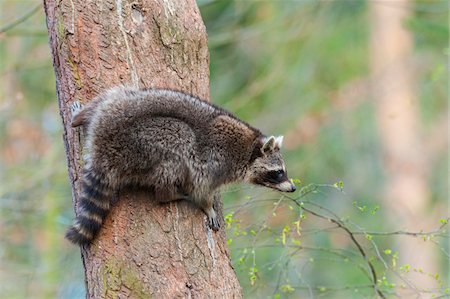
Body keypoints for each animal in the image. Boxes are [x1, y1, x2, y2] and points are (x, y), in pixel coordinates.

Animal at [66, 86, 296, 246]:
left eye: (283, 171)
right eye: (278, 173)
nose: (293, 187)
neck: (249, 150)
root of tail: (102, 144)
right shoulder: (213, 162)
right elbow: (200, 187)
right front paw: (207, 207)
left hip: (118, 103)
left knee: (111, 95)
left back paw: (80, 116)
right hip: (144, 145)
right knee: (179, 143)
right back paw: (168, 194)